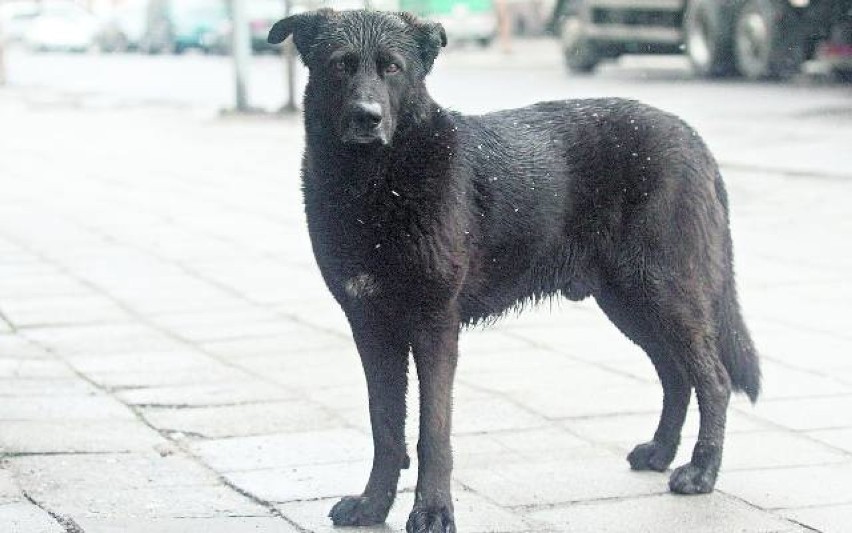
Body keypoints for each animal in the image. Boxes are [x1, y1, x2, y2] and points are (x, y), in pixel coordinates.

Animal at [270, 9, 764, 532]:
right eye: (341, 65)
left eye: (392, 68)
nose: (367, 117)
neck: (376, 182)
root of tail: (692, 138)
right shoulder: (370, 327)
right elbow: (385, 426)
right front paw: (373, 506)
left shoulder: (434, 326)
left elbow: (432, 432)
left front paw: (432, 511)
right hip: (629, 303)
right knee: (676, 374)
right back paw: (661, 453)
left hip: (663, 292)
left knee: (713, 379)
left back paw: (701, 472)